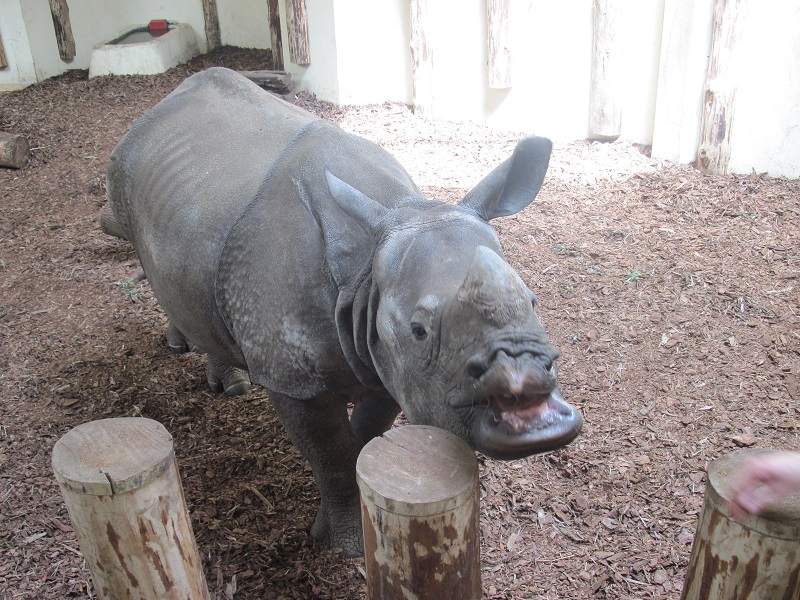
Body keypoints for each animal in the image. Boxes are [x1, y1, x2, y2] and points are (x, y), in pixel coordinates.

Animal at [101, 67, 583, 557]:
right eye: (419, 330)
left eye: (533, 301)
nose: (530, 400)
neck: (365, 266)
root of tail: (156, 109)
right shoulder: (294, 378)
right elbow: (331, 454)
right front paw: (344, 544)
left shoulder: (383, 351)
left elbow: (366, 434)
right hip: (122, 173)